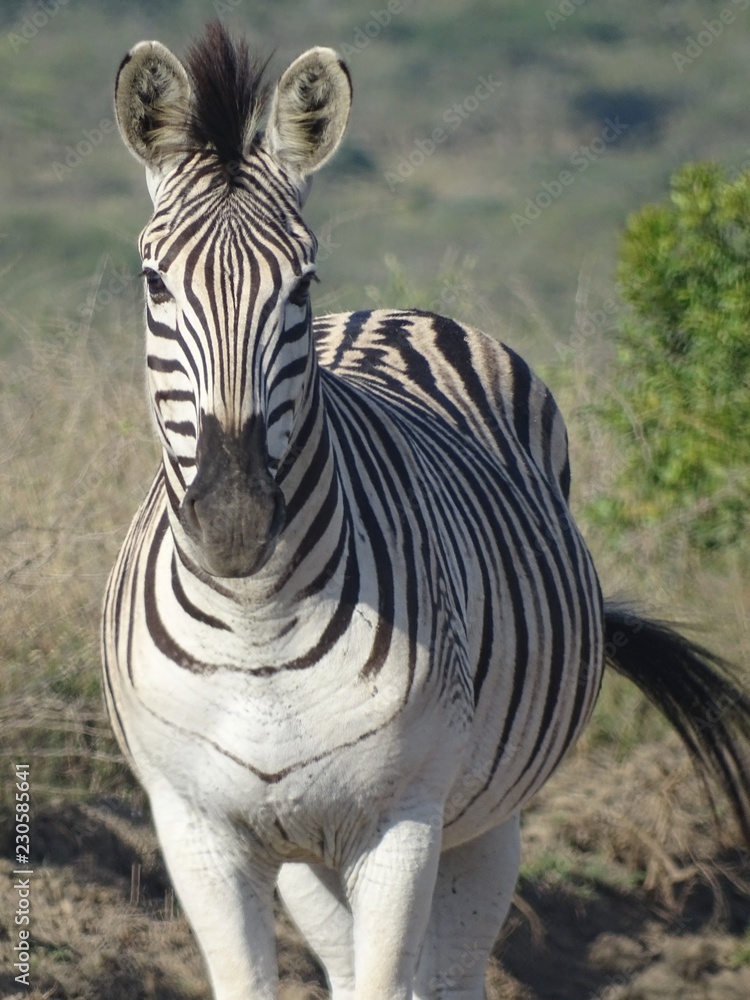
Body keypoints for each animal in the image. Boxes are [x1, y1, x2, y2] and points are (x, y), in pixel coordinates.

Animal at [103, 22, 750, 1000]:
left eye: (301, 287)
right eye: (153, 284)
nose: (234, 524)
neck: (257, 627)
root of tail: (398, 312)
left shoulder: (403, 820)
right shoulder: (197, 829)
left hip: (484, 819)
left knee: (449, 971)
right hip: (310, 851)